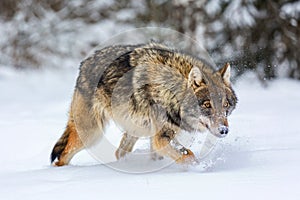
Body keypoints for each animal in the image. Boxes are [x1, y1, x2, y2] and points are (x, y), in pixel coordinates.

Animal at [51, 41, 237, 166]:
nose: (224, 130)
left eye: (226, 105)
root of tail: (84, 63)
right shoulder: (160, 139)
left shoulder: (161, 136)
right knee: (62, 156)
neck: (170, 90)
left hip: (135, 128)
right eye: (207, 105)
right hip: (91, 134)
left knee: (119, 152)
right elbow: (188, 156)